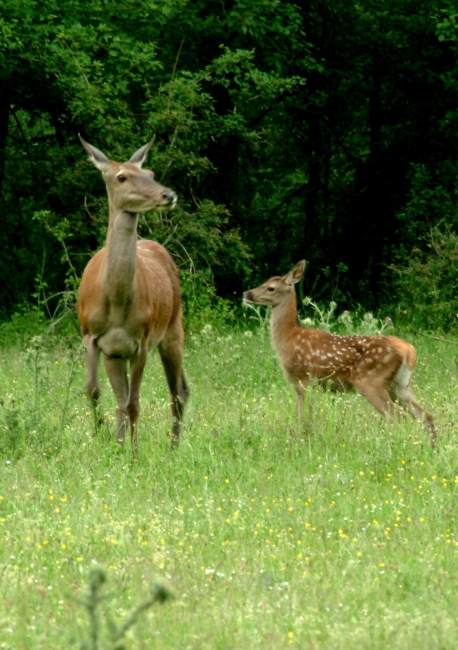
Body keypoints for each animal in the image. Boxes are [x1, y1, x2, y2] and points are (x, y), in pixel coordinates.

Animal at [78, 137, 189, 450]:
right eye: (121, 177)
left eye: (149, 173)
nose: (169, 195)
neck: (116, 303)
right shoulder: (92, 336)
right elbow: (94, 391)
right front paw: (105, 442)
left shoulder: (142, 340)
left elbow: (134, 404)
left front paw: (135, 453)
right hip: (117, 354)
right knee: (122, 396)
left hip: (173, 327)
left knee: (179, 391)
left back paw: (173, 448)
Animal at [243, 260, 436, 442]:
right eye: (265, 282)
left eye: (271, 288)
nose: (247, 294)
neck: (289, 337)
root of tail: (410, 351)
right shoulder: (299, 383)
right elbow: (299, 415)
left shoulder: (305, 378)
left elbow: (306, 417)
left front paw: (305, 438)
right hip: (400, 384)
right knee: (425, 415)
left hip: (371, 381)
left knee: (396, 417)